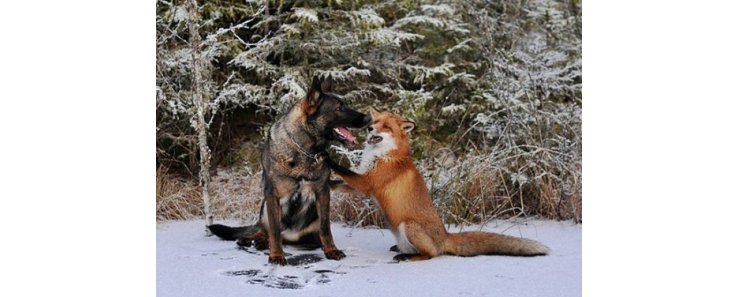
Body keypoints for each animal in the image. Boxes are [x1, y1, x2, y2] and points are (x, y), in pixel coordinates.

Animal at [208, 74, 370, 264]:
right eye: (339, 108)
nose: (368, 119)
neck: (305, 151)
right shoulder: (272, 195)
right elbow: (275, 231)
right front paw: (277, 254)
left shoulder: (323, 192)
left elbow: (326, 229)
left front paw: (331, 250)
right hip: (265, 210)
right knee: (264, 231)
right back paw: (253, 240)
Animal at [330, 109, 548, 262]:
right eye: (375, 123)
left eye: (386, 126)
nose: (369, 128)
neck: (382, 156)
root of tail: (445, 236)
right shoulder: (363, 186)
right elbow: (340, 183)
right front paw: (329, 184)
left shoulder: (368, 183)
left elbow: (344, 170)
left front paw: (327, 158)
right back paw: (400, 249)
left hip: (408, 226)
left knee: (430, 254)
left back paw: (406, 256)